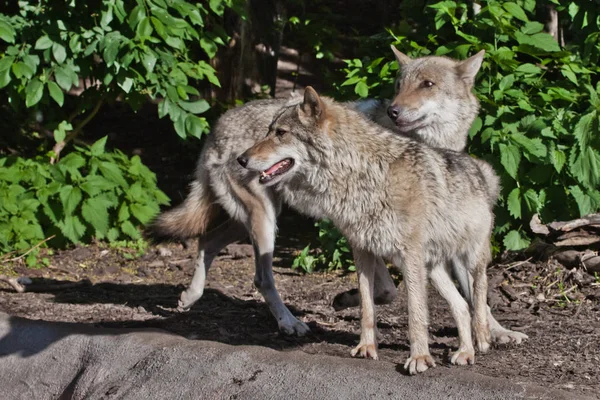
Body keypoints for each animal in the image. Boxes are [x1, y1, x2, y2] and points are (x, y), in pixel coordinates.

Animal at [239, 86, 496, 374]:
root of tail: (478, 167)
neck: (362, 175)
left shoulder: (409, 256)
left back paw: (482, 339)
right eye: (268, 130)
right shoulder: (362, 251)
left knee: (479, 294)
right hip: (432, 269)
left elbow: (416, 313)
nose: (241, 159)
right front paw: (366, 347)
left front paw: (419, 357)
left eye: (281, 133)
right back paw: (464, 352)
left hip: (468, 259)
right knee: (461, 306)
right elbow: (367, 307)